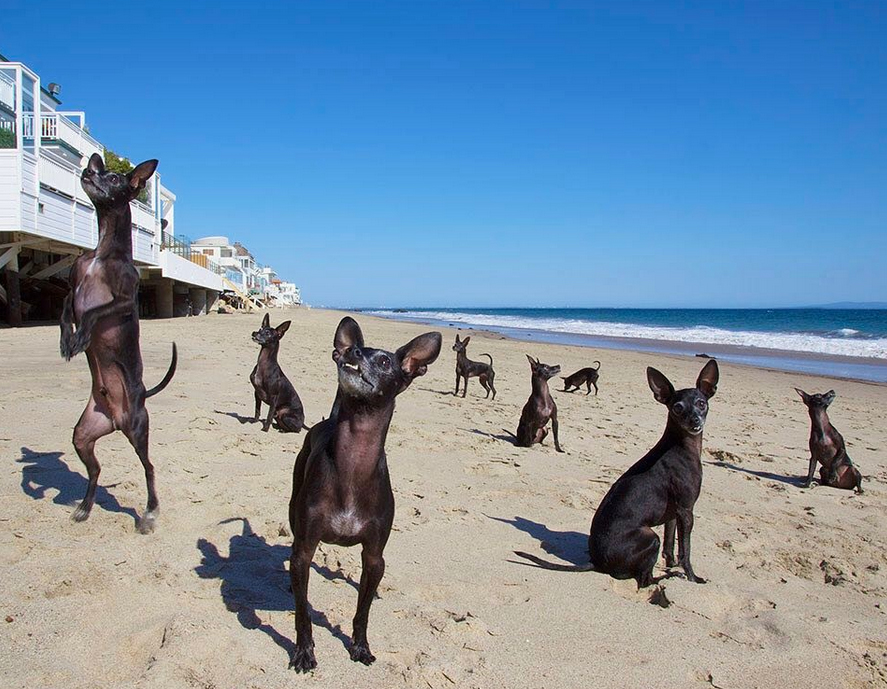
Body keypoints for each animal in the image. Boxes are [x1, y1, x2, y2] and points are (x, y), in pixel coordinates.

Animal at [59, 155, 177, 532]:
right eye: (97, 169)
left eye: (112, 177)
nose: (88, 170)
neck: (101, 251)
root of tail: (115, 416)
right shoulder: (71, 290)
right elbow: (66, 312)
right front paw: (67, 340)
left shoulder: (125, 300)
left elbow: (95, 312)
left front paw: (82, 336)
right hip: (83, 434)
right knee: (95, 471)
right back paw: (84, 507)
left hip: (137, 430)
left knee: (149, 468)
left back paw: (150, 512)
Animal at [288, 318, 440, 672]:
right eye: (353, 349)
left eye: (384, 361)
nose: (352, 352)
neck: (353, 463)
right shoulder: (304, 550)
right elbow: (303, 611)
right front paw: (304, 651)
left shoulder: (373, 557)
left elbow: (363, 610)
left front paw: (360, 646)